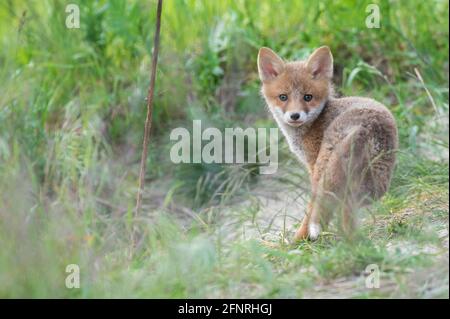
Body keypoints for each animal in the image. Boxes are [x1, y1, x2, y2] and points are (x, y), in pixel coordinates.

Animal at [256, 46, 398, 241]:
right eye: (283, 97)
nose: (295, 116)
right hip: (374, 183)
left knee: (319, 209)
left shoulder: (312, 164)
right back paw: (352, 241)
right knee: (348, 207)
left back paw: (299, 241)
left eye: (308, 97)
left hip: (324, 172)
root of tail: (366, 126)